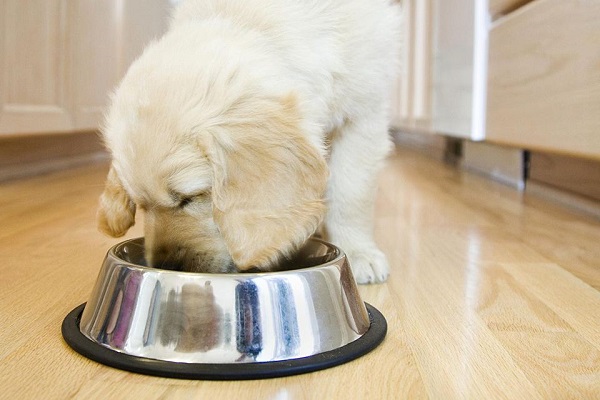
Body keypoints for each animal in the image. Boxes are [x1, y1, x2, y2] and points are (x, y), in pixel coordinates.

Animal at [97, 0, 398, 284]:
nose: (165, 267)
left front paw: (358, 251)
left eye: (189, 198)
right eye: (141, 206)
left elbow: (351, 195)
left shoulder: (362, 114)